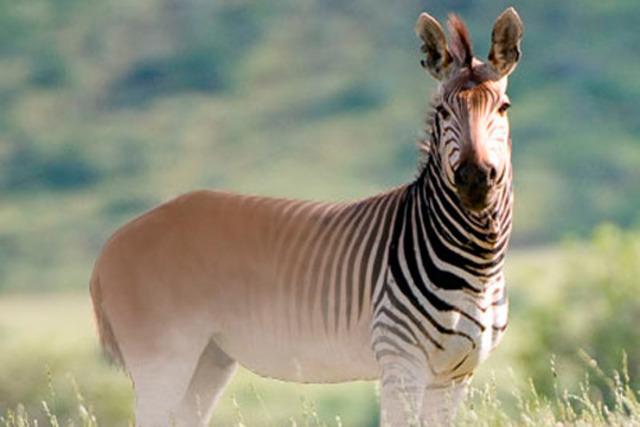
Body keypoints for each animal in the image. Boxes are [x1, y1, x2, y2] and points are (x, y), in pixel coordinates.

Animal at [90, 8, 522, 427]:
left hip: (209, 358)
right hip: (164, 358)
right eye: (444, 111)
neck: (476, 263)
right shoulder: (401, 362)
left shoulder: (454, 375)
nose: (474, 179)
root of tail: (112, 243)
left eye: (503, 108)